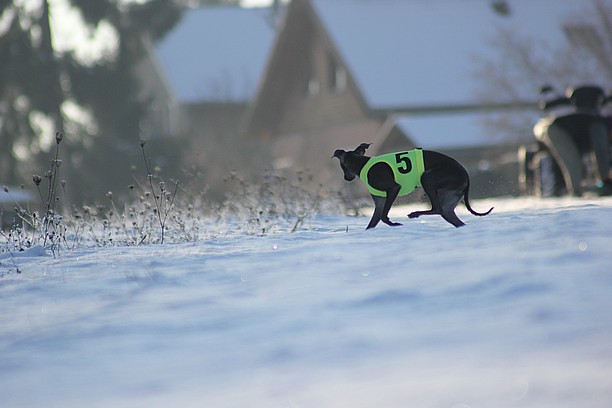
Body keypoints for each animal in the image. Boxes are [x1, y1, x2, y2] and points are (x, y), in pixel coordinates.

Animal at [334, 143, 492, 228]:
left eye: (342, 167)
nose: (346, 178)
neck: (362, 163)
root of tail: (466, 173)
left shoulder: (393, 189)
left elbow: (383, 216)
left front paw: (393, 223)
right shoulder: (379, 202)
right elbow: (373, 221)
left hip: (427, 177)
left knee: (437, 208)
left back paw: (414, 214)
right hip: (448, 201)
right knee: (447, 214)